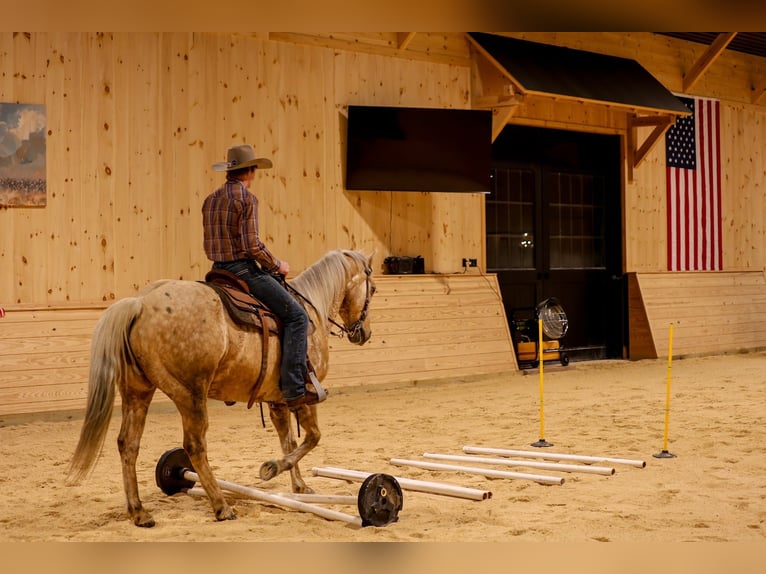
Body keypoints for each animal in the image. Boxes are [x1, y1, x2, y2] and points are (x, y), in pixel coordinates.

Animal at [67, 249, 376, 527]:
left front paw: (298, 486)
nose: (364, 333)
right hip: (190, 394)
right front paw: (272, 468)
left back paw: (139, 512)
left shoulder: (277, 401)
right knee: (194, 445)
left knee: (128, 444)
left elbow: (288, 440)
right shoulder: (305, 396)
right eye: (372, 289)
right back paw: (221, 506)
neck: (312, 311)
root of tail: (140, 303)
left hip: (137, 391)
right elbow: (312, 437)